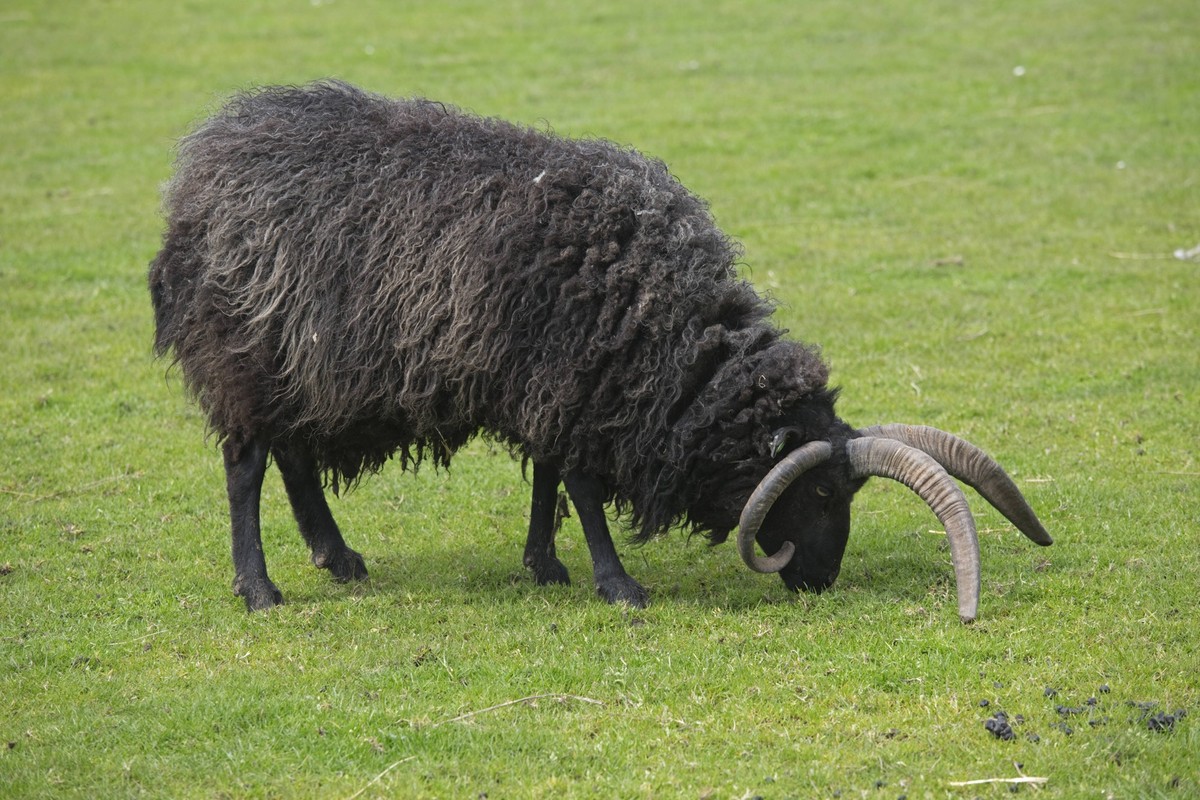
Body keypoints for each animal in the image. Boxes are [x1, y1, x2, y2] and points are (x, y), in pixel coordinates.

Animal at [149, 80, 1052, 621]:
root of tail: (201, 166)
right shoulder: (574, 381)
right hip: (245, 353)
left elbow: (549, 474)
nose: (820, 580)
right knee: (246, 467)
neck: (671, 338)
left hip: (301, 365)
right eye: (825, 493)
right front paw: (616, 583)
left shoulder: (561, 384)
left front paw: (544, 563)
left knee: (294, 457)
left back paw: (337, 558)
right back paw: (259, 588)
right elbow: (580, 483)